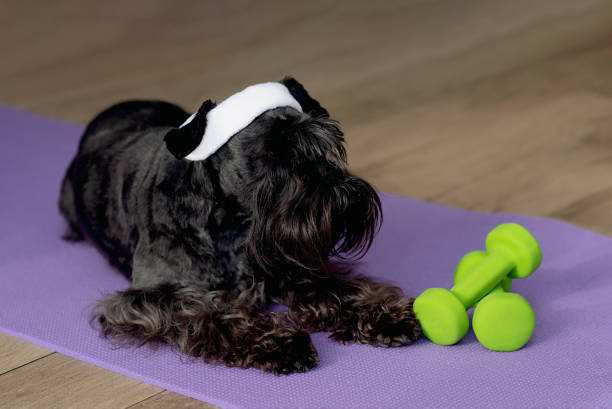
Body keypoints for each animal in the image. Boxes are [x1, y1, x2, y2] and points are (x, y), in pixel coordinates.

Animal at [59, 76, 424, 372]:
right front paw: (277, 343)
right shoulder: (152, 297)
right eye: (271, 155)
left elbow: (329, 286)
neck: (232, 225)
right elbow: (207, 311)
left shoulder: (286, 261)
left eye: (325, 146)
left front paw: (382, 314)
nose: (346, 198)